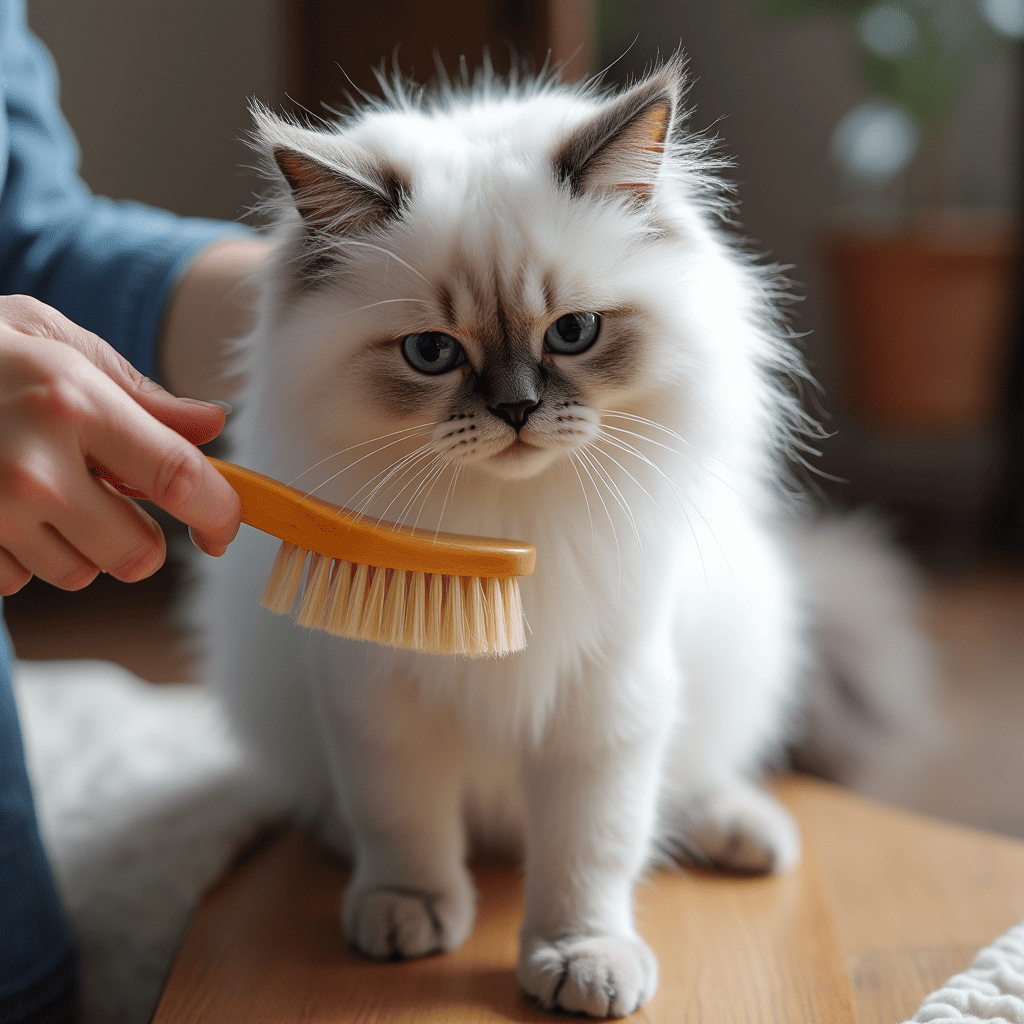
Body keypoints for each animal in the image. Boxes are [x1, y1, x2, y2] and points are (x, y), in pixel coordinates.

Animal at [192, 58, 937, 1015]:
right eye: (432, 353)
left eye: (573, 334)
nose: (516, 410)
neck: (505, 526)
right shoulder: (379, 687)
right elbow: (403, 822)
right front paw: (408, 913)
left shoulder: (606, 698)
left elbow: (591, 855)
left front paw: (581, 961)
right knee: (343, 808)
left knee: (689, 787)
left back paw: (743, 831)